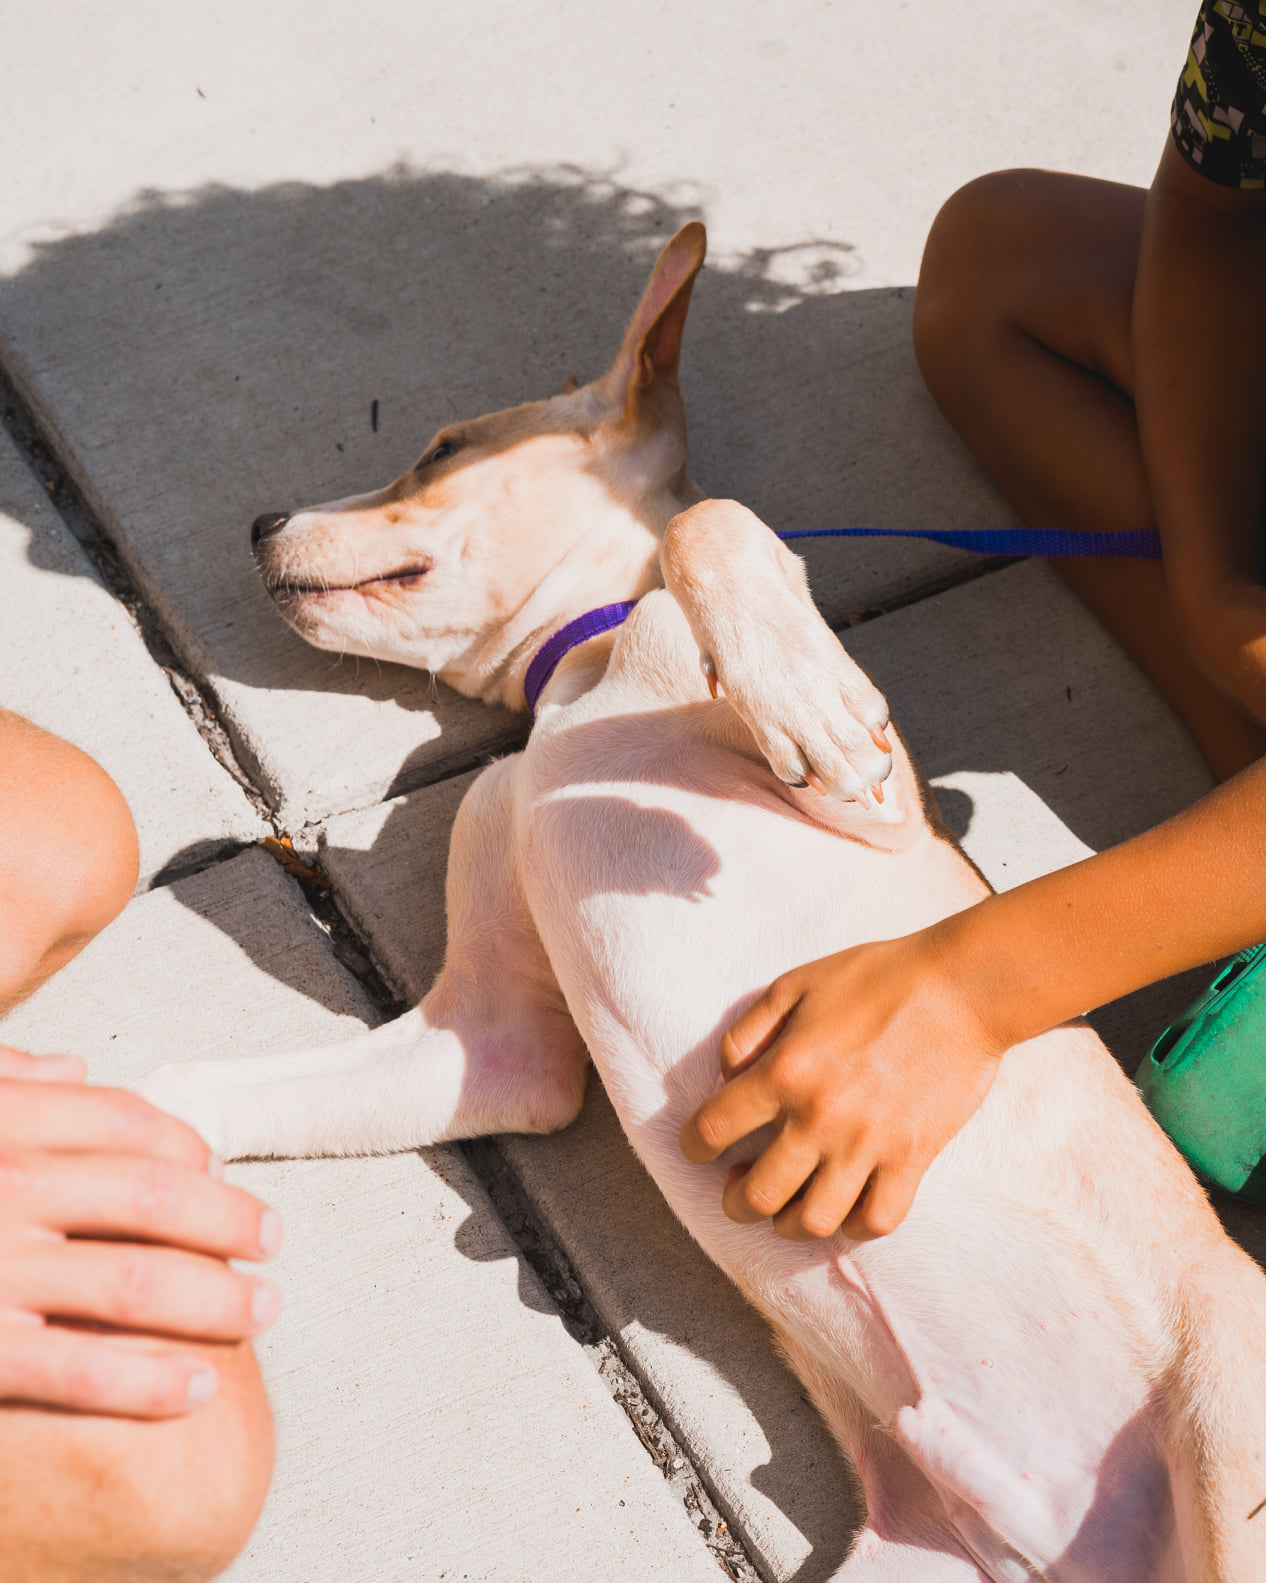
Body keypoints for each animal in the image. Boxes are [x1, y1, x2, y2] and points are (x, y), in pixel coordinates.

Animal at [143, 223, 1266, 1583]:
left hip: (1232, 1439)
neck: (584, 665)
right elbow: (218, 1087)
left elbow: (715, 528)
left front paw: (795, 698)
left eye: (443, 447)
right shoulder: (495, 1045)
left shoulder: (876, 802)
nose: (260, 519)